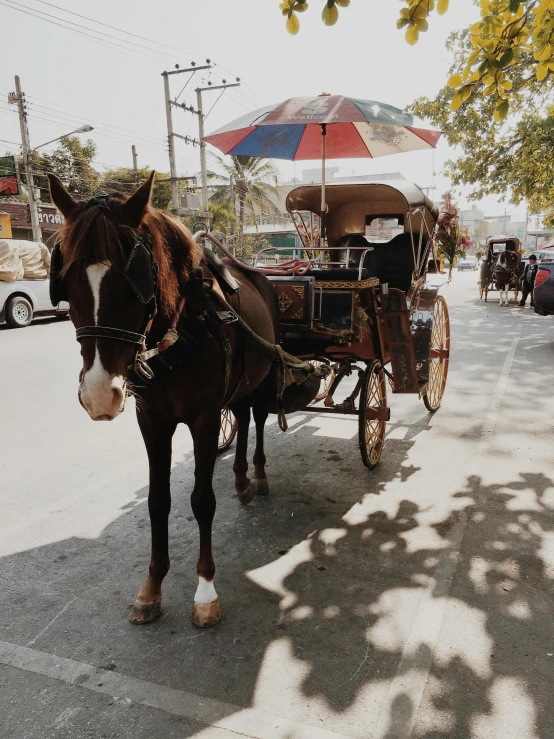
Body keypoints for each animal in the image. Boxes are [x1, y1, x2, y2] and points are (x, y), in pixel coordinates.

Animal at [47, 173, 280, 632]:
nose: (99, 393)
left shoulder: (205, 419)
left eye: (133, 280)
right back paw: (241, 479)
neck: (181, 332)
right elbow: (159, 502)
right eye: (67, 278)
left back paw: (258, 474)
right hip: (238, 385)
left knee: (259, 418)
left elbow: (202, 501)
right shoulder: (151, 419)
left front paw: (205, 591)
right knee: (243, 417)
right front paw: (151, 588)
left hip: (263, 378)